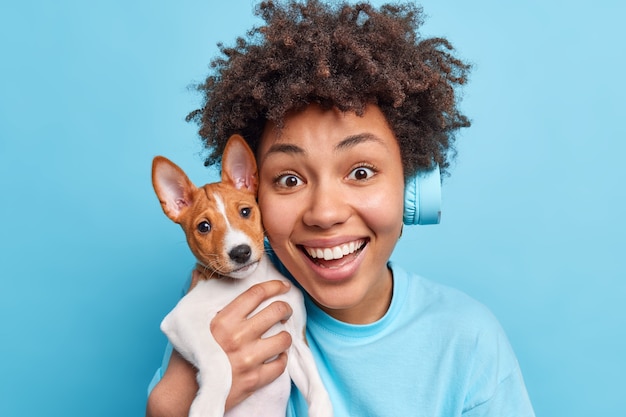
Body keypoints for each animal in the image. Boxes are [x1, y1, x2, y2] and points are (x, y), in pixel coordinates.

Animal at [151, 135, 332, 414]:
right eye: (204, 227)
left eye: (245, 212)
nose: (240, 252)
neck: (250, 281)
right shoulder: (182, 318)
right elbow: (219, 361)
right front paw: (208, 406)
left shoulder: (295, 339)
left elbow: (319, 389)